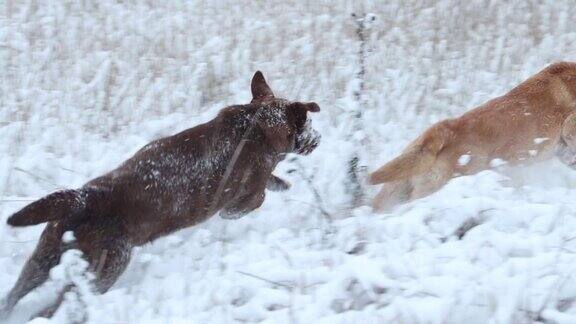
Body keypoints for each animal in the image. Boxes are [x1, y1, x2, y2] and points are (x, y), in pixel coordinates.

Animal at [0, 71, 320, 318]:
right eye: (309, 124)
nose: (318, 139)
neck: (257, 125)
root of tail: (83, 198)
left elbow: (272, 182)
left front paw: (283, 183)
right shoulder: (246, 192)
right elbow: (255, 197)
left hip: (44, 255)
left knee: (14, 293)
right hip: (106, 268)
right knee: (55, 307)